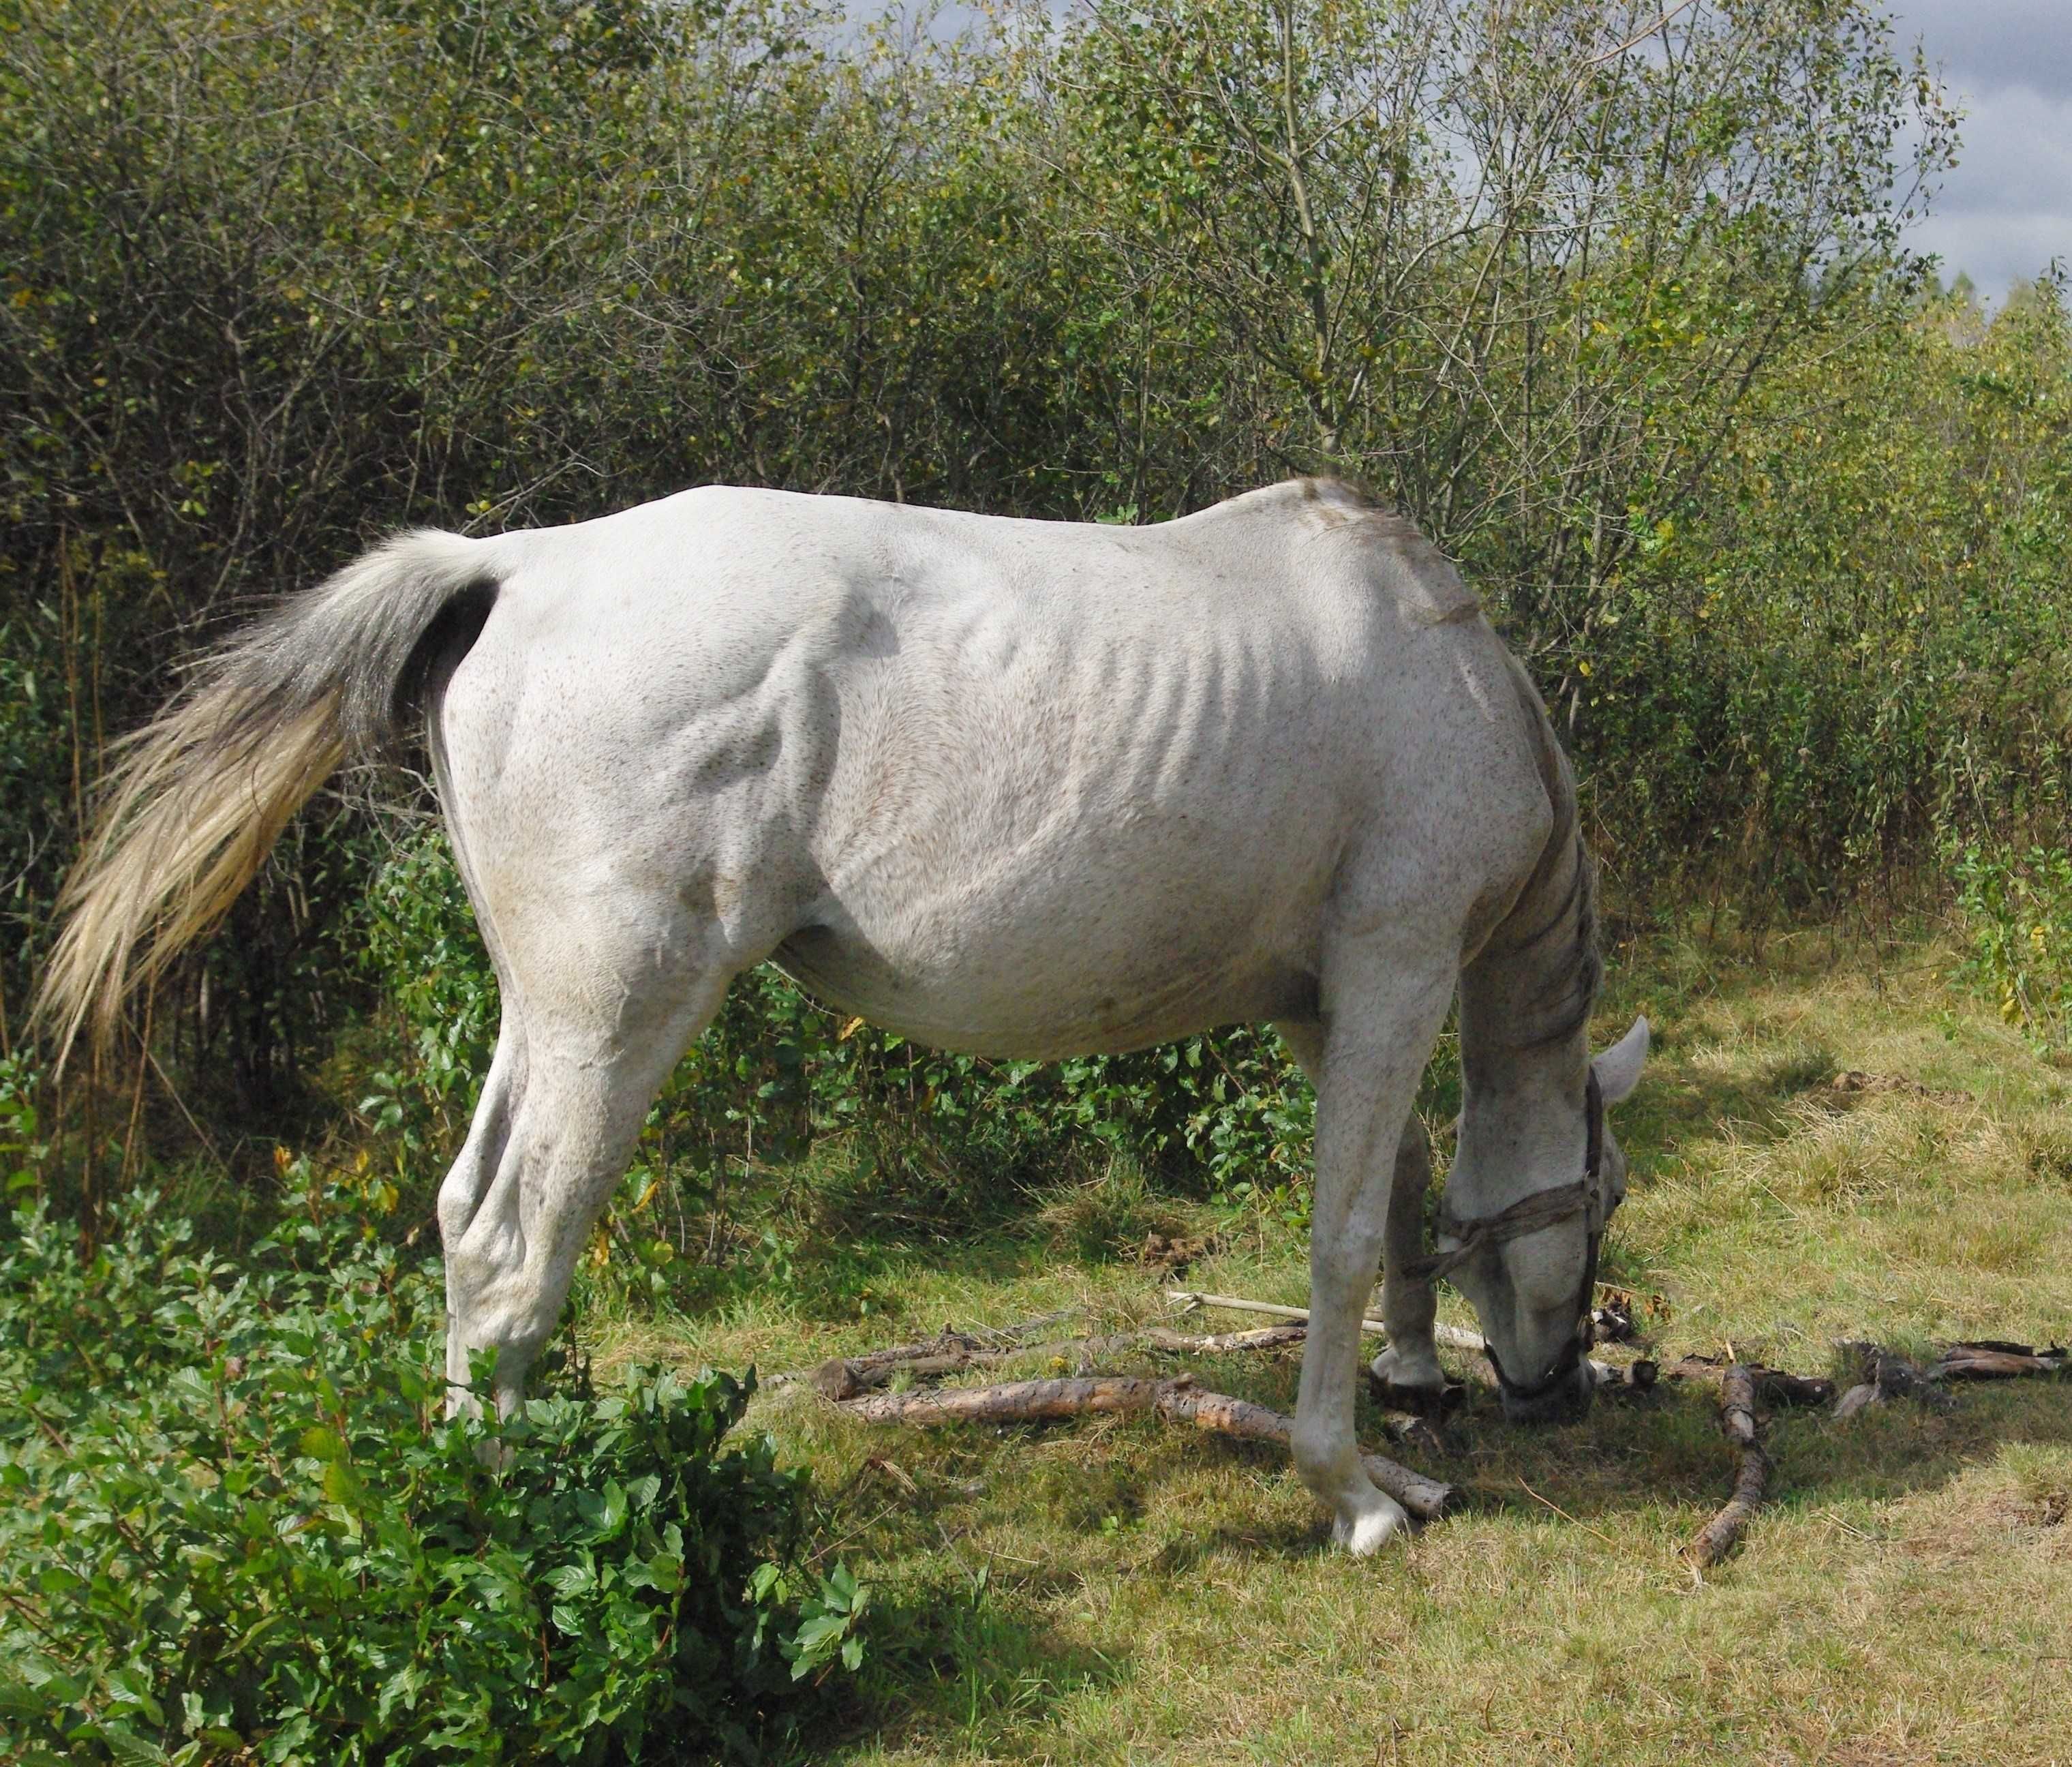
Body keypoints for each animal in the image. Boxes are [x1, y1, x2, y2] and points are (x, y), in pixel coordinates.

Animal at [40, 476, 1641, 1549]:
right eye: (1608, 1198)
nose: (1561, 1389)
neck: (1447, 672)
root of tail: (516, 564)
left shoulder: (1327, 1002)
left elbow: (1407, 1186)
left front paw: (1411, 1374)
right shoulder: (1393, 968)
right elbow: (1344, 1231)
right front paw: (1353, 1492)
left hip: (541, 1014)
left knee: (462, 1217)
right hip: (617, 1015)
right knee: (511, 1254)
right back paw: (509, 1532)